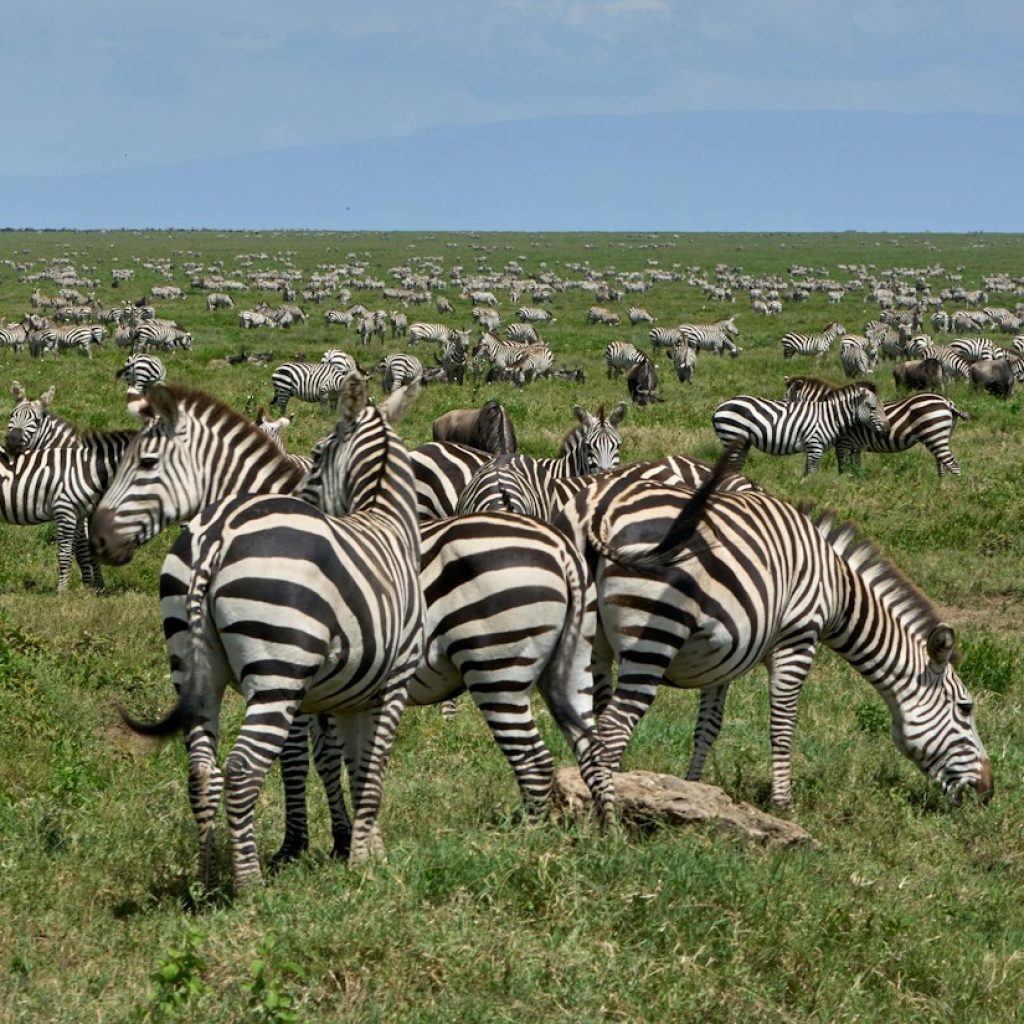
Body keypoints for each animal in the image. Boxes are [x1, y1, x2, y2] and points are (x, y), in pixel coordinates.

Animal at [119, 374, 426, 890]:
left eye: (144, 462)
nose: (99, 535)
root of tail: (216, 536)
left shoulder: (342, 690)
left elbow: (347, 760)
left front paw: (350, 842)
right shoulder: (372, 681)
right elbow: (338, 760)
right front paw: (335, 847)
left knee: (205, 768)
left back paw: (209, 879)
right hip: (279, 669)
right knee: (241, 767)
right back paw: (249, 883)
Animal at [552, 459, 993, 809]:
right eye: (965, 708)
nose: (988, 792)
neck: (839, 590)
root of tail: (598, 508)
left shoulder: (723, 655)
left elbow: (708, 727)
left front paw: (694, 791)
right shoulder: (797, 638)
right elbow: (783, 724)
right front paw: (783, 803)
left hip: (591, 644)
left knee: (595, 723)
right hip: (654, 632)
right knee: (614, 728)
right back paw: (610, 818)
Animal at [712, 386, 889, 475]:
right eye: (873, 408)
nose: (887, 430)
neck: (829, 417)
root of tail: (718, 408)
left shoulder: (812, 447)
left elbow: (807, 472)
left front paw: (803, 488)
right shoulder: (815, 445)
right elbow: (812, 473)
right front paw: (813, 492)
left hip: (743, 441)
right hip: (732, 434)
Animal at [783, 377, 971, 477]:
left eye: (785, 400)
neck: (832, 411)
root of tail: (947, 402)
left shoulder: (843, 443)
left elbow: (842, 466)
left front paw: (843, 482)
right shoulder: (855, 445)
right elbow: (856, 466)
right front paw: (856, 482)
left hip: (934, 435)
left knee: (953, 464)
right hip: (939, 437)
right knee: (942, 464)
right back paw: (940, 487)